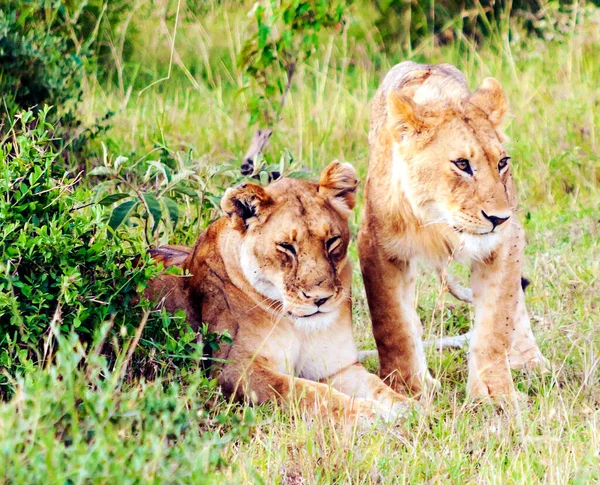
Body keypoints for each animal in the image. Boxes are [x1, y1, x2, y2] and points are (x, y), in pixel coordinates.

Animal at [147, 162, 410, 420]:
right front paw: (370, 414)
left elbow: (376, 385)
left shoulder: (337, 366)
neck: (300, 328)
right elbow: (308, 392)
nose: (320, 299)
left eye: (332, 241)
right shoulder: (234, 370)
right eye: (286, 247)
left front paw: (406, 408)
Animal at [356, 61, 548, 400]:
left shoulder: (506, 242)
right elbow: (392, 324)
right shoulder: (376, 246)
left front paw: (494, 393)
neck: (439, 221)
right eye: (461, 164)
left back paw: (530, 361)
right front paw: (409, 388)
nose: (498, 218)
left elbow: (497, 320)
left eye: (502, 162)